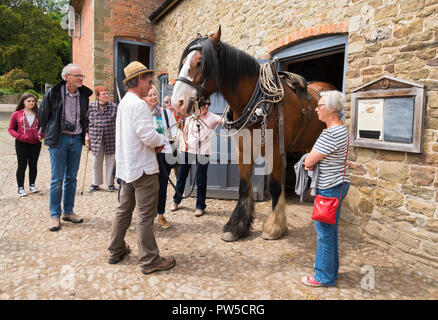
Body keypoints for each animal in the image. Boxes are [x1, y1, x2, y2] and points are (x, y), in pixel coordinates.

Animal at [171, 27, 336, 241]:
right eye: (183, 62)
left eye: (200, 62)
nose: (177, 102)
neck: (255, 102)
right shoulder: (243, 149)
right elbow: (243, 186)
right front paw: (237, 226)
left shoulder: (275, 151)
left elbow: (274, 187)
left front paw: (274, 227)